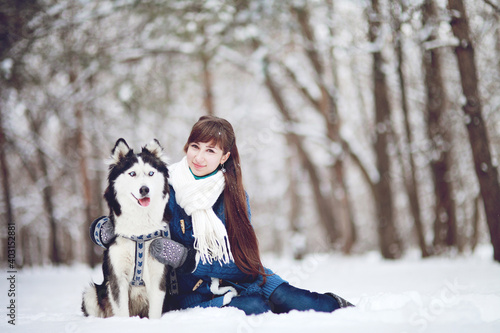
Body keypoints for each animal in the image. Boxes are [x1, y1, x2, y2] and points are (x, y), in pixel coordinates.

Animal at [81, 138, 169, 320]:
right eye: (132, 174)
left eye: (151, 173)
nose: (144, 189)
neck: (139, 231)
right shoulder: (117, 277)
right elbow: (121, 310)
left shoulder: (157, 276)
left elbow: (155, 312)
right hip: (91, 293)